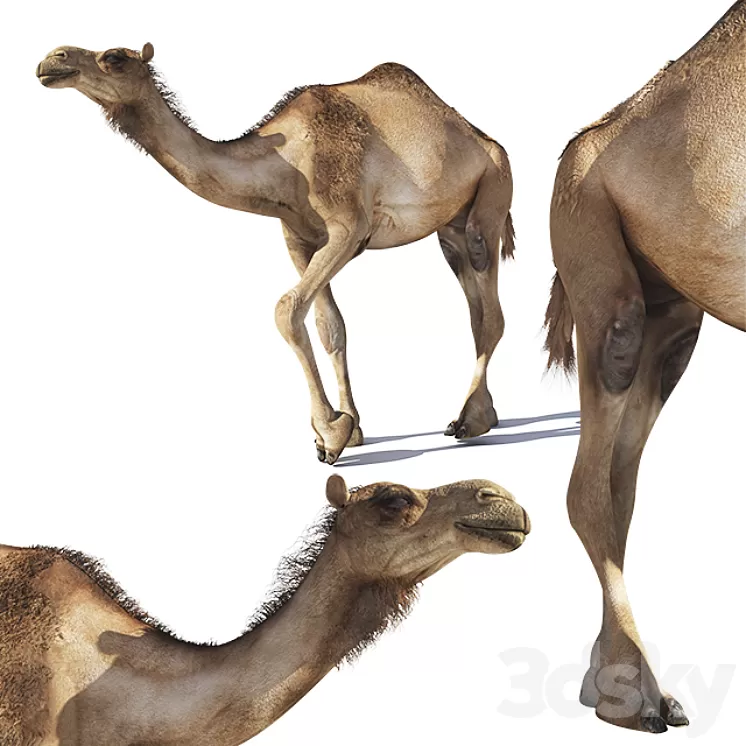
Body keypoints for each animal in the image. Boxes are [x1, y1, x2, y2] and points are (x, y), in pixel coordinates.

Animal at [35, 44, 515, 465]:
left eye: (114, 57)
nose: (51, 60)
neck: (286, 161)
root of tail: (485, 137)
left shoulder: (349, 227)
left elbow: (286, 309)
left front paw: (329, 434)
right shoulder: (298, 238)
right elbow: (330, 327)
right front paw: (353, 427)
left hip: (492, 192)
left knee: (491, 310)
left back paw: (471, 420)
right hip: (450, 228)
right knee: (475, 310)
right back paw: (486, 415)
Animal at [544, 0, 746, 734]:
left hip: (673, 323)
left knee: (620, 487)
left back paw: (611, 686)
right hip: (603, 287)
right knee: (589, 490)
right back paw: (634, 695)